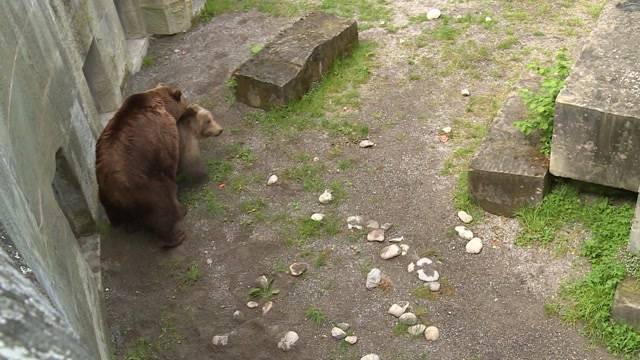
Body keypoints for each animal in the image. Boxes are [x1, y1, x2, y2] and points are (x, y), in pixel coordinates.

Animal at [95, 83, 190, 248]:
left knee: (118, 216)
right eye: (183, 99)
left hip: (106, 198)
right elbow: (171, 159)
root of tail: (113, 188)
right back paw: (177, 233)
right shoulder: (164, 134)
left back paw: (130, 226)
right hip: (145, 186)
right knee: (162, 207)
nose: (188, 104)